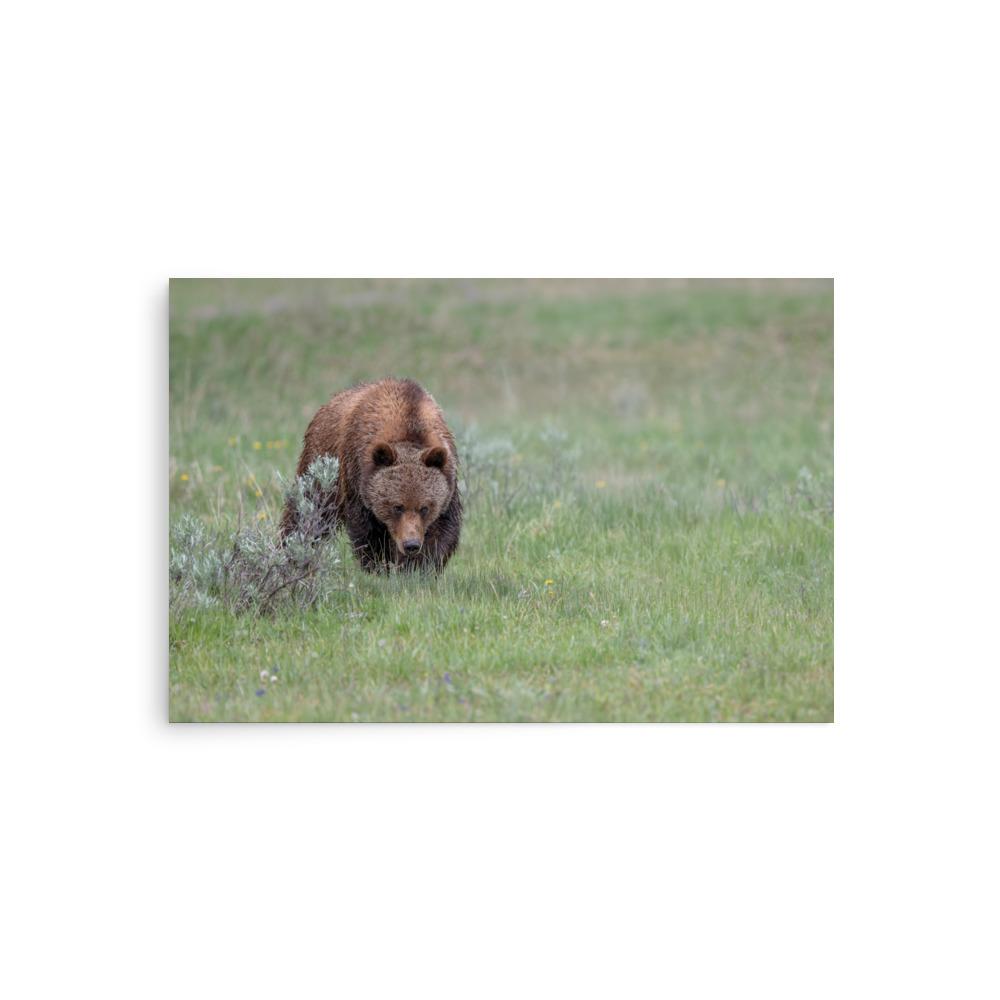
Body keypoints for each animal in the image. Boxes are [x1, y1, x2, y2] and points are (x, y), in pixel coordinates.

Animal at [280, 378, 462, 572]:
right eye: (397, 507)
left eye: (425, 508)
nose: (411, 545)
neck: (410, 426)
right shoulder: (357, 476)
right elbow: (368, 531)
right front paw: (379, 566)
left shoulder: (448, 481)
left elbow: (442, 530)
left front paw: (417, 567)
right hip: (322, 464)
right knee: (308, 511)